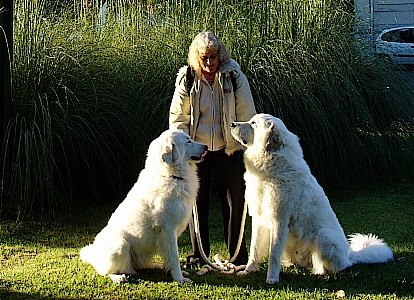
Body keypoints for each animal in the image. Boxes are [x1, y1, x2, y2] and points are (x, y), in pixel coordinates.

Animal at [79, 129, 207, 284]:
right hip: (120, 244)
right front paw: (179, 278)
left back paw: (156, 266)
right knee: (104, 271)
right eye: (188, 141)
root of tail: (94, 253)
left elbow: (170, 257)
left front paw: (177, 272)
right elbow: (175, 256)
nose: (206, 147)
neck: (170, 176)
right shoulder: (168, 229)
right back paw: (118, 277)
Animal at [231, 113, 392, 284]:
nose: (232, 124)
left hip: (324, 237)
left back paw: (320, 273)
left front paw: (272, 279)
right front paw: (248, 271)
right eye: (250, 120)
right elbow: (254, 250)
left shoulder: (279, 221)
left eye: (253, 124)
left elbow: (273, 254)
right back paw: (290, 264)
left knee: (335, 266)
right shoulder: (259, 219)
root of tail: (350, 255)